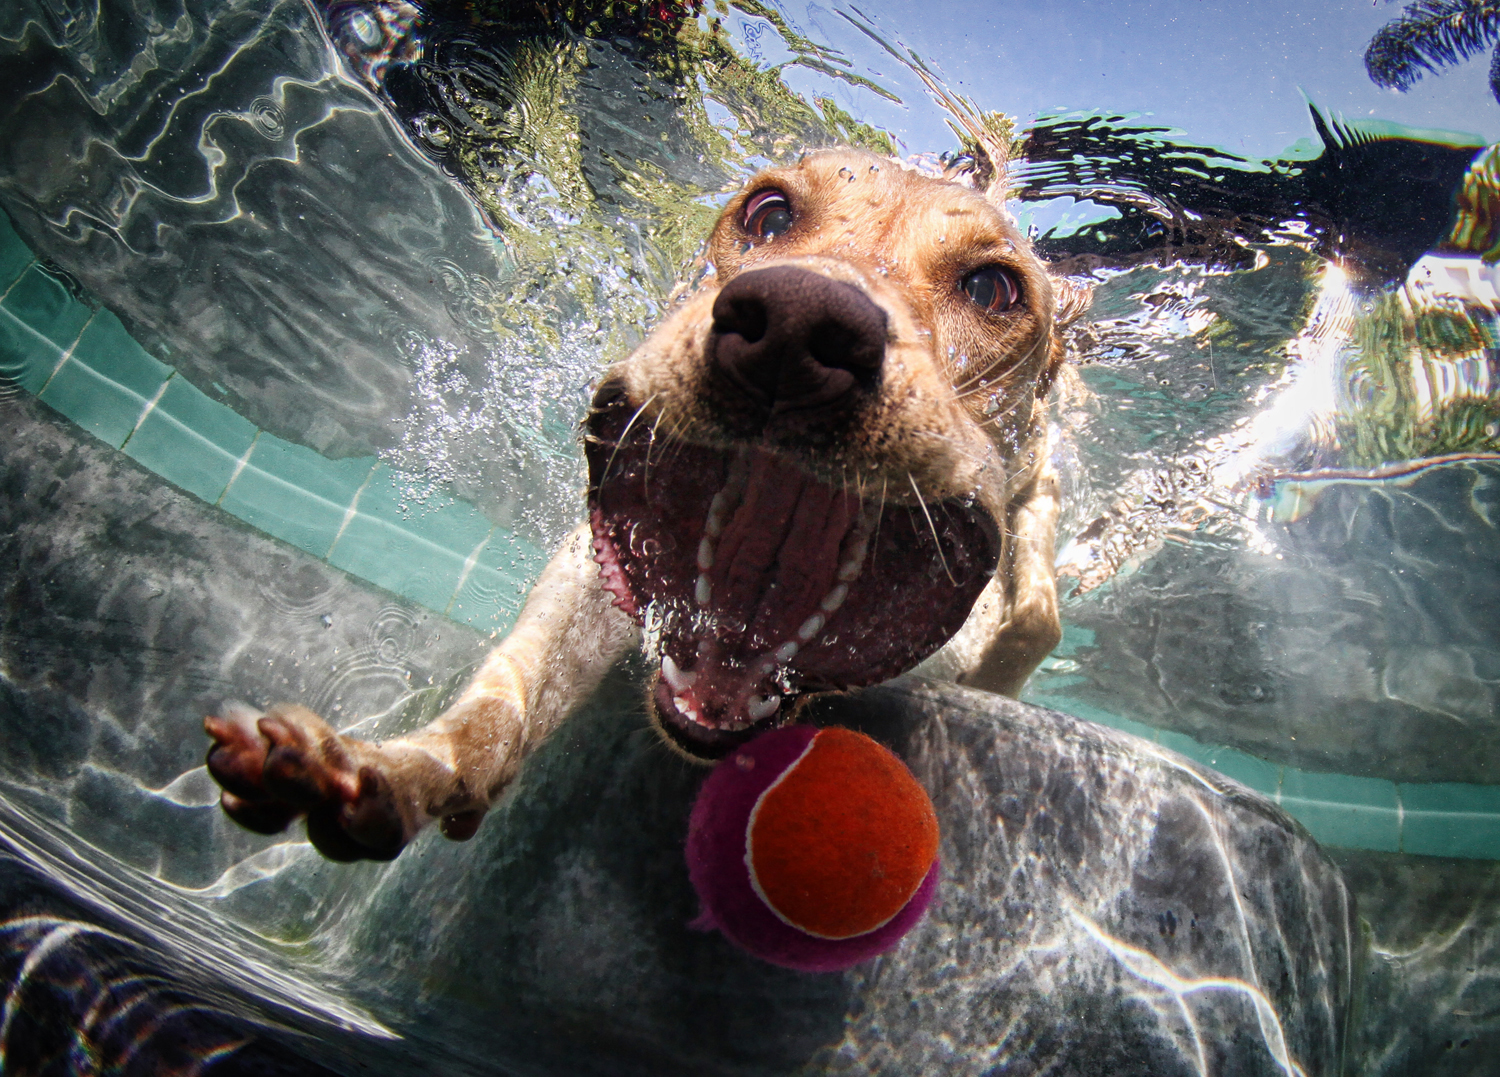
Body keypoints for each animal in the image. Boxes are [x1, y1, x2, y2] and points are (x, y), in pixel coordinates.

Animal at [205, 147, 1086, 864]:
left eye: (993, 288)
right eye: (768, 212)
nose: (797, 326)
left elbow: (1034, 614)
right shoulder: (590, 572)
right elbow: (505, 698)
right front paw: (404, 770)